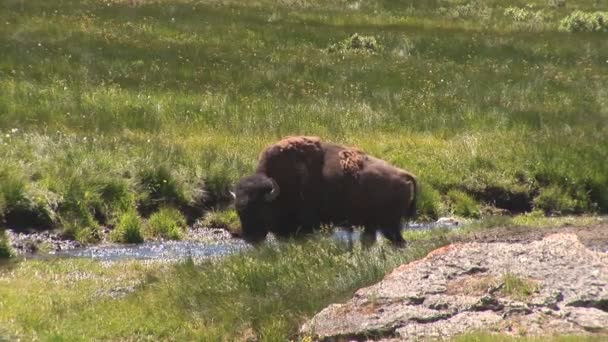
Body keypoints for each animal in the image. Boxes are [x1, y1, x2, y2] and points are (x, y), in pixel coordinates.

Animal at [233, 136, 418, 246]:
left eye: (258, 208)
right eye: (238, 211)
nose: (250, 238)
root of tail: (405, 175)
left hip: (390, 225)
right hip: (376, 224)